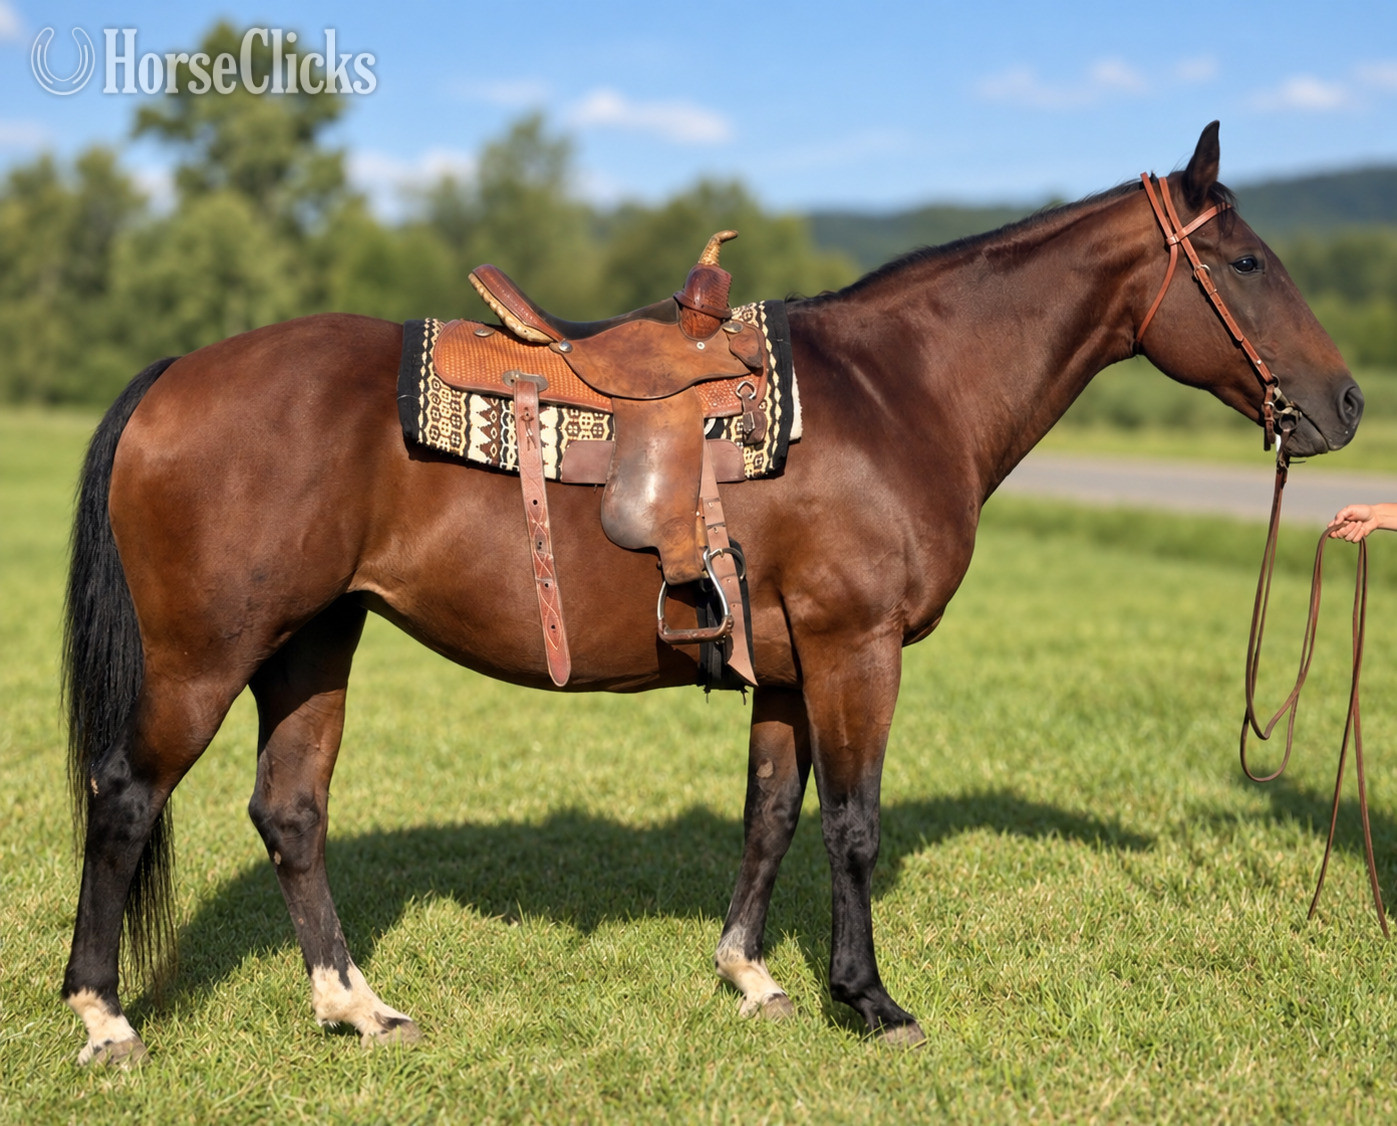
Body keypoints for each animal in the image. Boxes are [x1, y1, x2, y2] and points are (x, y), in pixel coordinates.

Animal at [62, 123, 1362, 1064]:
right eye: (1245, 262)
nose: (1344, 403)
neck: (895, 392)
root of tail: (176, 372)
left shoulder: (785, 666)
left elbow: (771, 816)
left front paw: (752, 974)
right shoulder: (853, 650)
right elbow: (852, 826)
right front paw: (868, 1000)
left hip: (311, 641)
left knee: (290, 813)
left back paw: (355, 1008)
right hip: (207, 654)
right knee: (124, 799)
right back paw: (105, 1017)